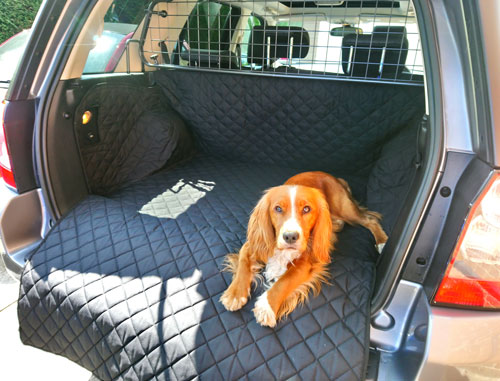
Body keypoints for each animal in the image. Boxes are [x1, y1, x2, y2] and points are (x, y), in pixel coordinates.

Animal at [219, 171, 386, 326]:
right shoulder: (254, 243)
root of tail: (333, 177)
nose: (290, 237)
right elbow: (243, 264)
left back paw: (382, 241)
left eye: (307, 209)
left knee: (370, 219)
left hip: (344, 208)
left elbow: (284, 282)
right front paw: (235, 294)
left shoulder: (305, 263)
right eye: (278, 208)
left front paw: (266, 307)